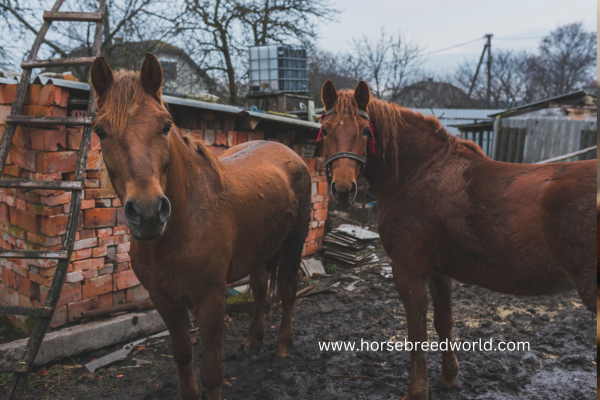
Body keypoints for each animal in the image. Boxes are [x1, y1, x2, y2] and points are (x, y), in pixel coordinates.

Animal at [92, 54, 314, 400]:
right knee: (261, 291)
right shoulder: (164, 301)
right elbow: (183, 354)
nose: (148, 212)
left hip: (293, 242)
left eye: (166, 125)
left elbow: (211, 373)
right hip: (260, 250)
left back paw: (282, 348)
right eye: (100, 130)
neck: (184, 225)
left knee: (288, 292)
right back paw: (252, 343)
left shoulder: (210, 302)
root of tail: (288, 151)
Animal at [318, 80, 596, 400]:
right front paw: (448, 376)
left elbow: (417, 331)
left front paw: (417, 391)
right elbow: (443, 322)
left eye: (365, 131)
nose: (342, 190)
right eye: (325, 129)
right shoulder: (439, 270)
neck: (420, 171)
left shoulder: (408, 271)